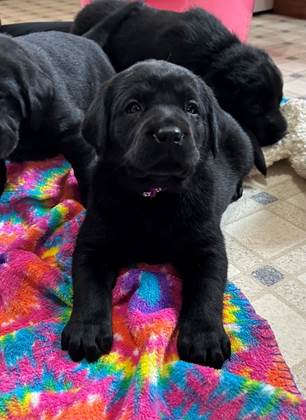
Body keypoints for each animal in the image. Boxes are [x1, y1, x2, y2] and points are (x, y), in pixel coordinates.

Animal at [61, 60, 255, 370]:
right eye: (133, 107)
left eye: (191, 108)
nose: (170, 134)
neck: (155, 195)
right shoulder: (93, 245)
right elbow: (88, 286)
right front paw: (86, 330)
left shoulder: (208, 248)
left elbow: (207, 291)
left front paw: (204, 337)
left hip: (242, 148)